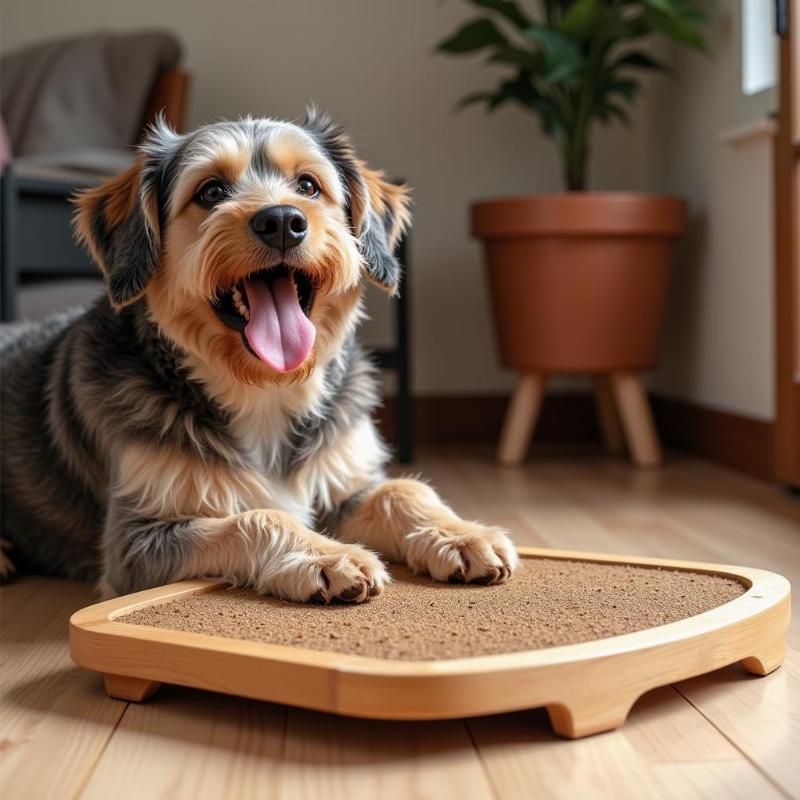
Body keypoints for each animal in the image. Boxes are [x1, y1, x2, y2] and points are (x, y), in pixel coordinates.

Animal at [1, 109, 520, 604]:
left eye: (308, 185)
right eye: (211, 191)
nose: (283, 221)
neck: (264, 389)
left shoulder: (344, 480)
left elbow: (402, 488)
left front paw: (460, 534)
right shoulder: (136, 541)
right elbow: (259, 516)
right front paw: (325, 556)